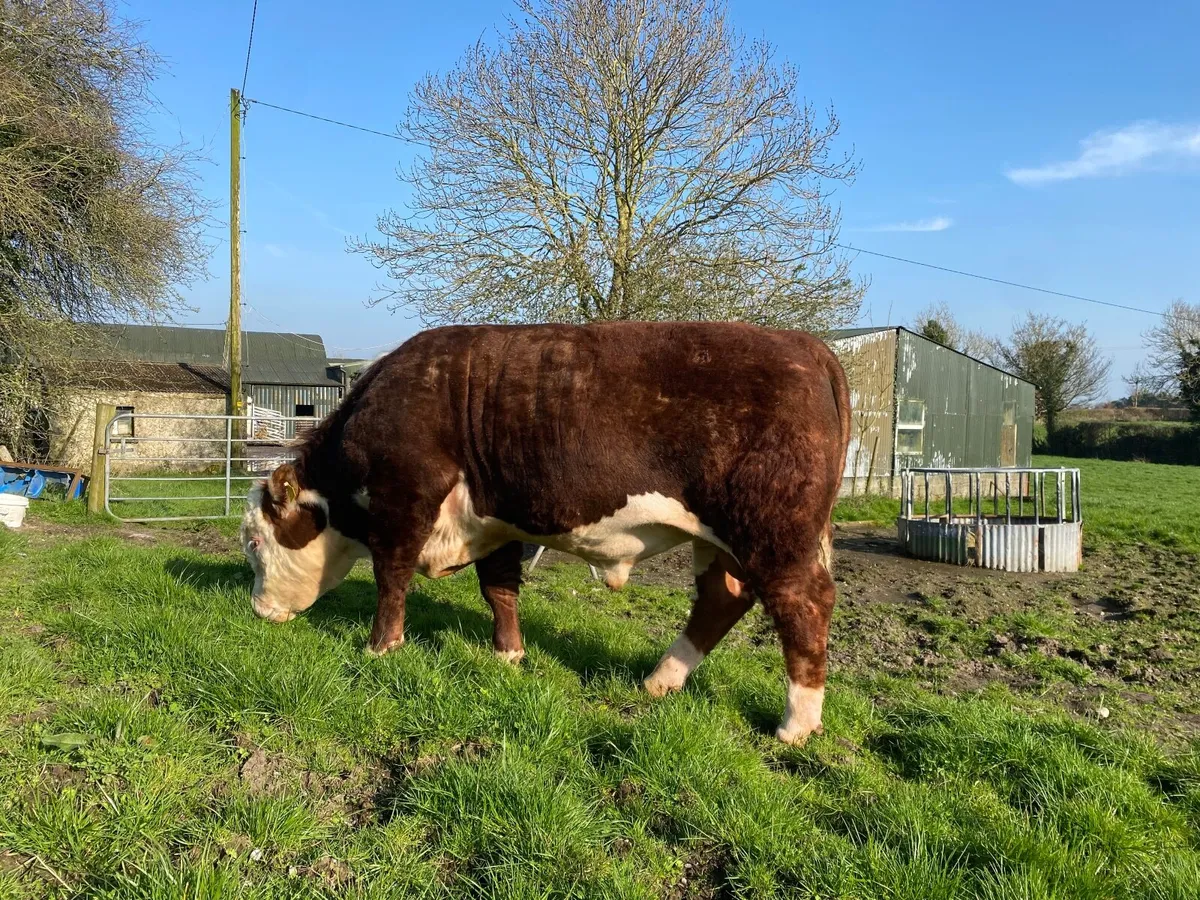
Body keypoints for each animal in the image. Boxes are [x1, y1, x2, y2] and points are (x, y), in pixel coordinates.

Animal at [240, 321, 851, 744]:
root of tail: (806, 346)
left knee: (804, 604)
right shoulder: (497, 520)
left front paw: (380, 648)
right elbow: (499, 589)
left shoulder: (404, 500)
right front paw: (508, 654)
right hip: (720, 540)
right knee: (723, 599)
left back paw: (796, 724)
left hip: (775, 532)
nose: (257, 610)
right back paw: (660, 681)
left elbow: (392, 577)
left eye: (255, 542)